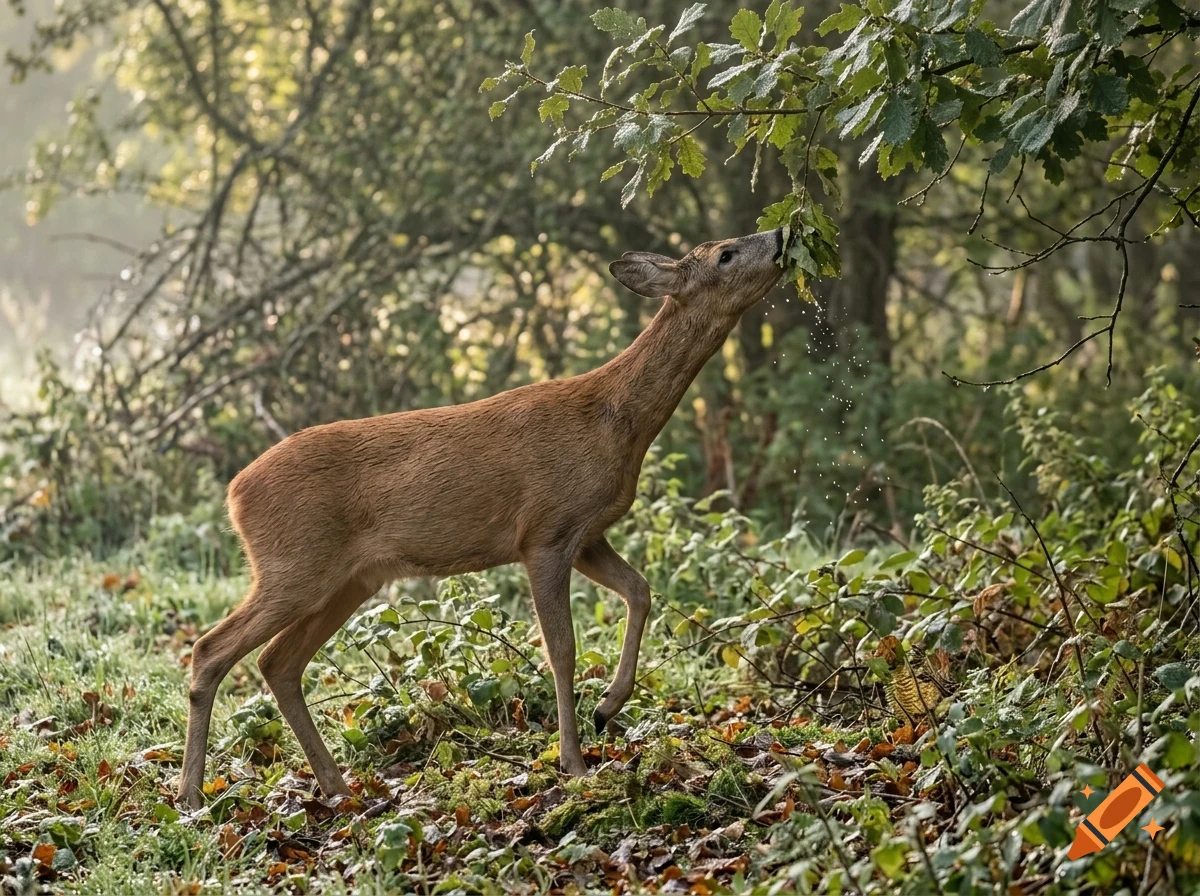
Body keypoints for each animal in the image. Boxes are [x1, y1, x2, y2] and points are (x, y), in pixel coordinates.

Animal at [178, 228, 784, 808]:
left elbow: (640, 591)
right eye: (726, 254)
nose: (779, 237)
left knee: (278, 663)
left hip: (349, 579)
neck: (615, 421)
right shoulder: (544, 532)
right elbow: (562, 650)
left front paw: (608, 707)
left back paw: (336, 786)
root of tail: (235, 492)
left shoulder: (587, 534)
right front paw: (574, 763)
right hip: (294, 563)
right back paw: (191, 794)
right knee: (211, 649)